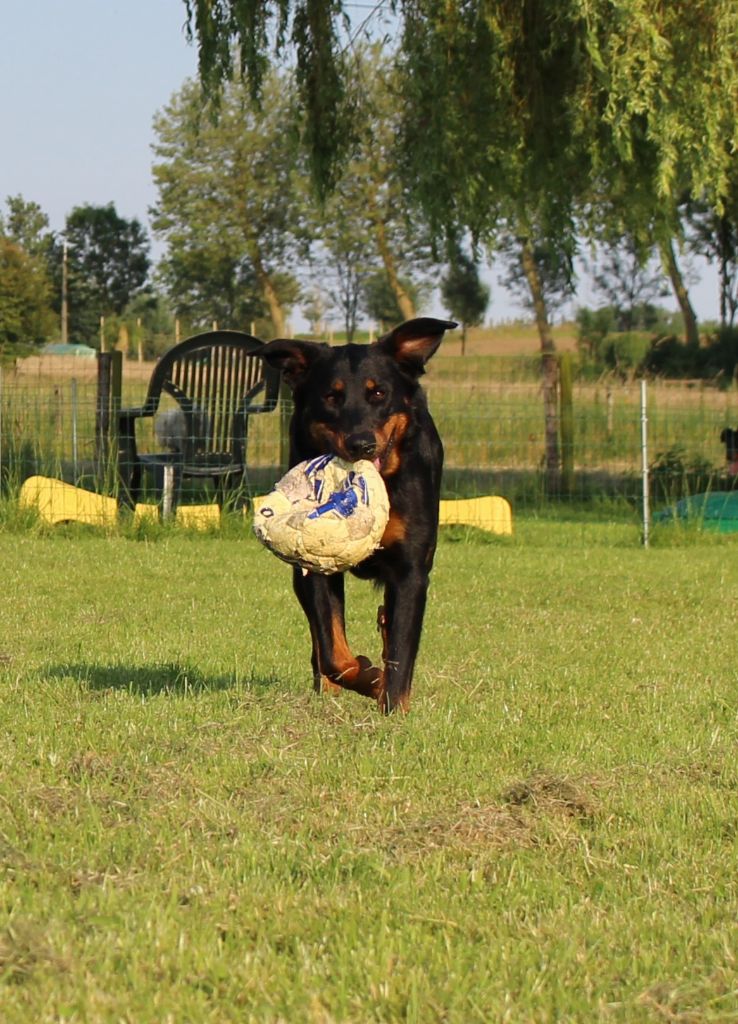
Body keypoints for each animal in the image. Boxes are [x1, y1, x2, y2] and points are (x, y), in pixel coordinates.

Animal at [258, 317, 454, 712]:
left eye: (378, 393)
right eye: (331, 397)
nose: (362, 443)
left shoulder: (411, 569)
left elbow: (401, 651)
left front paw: (392, 707)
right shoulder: (316, 565)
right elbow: (334, 651)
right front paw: (368, 677)